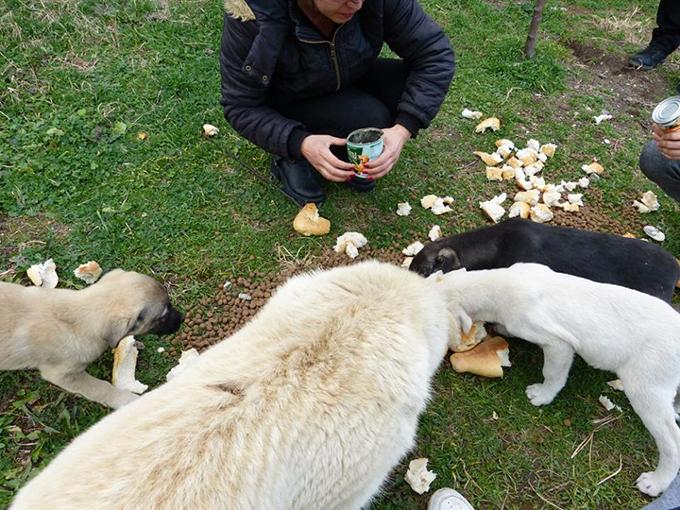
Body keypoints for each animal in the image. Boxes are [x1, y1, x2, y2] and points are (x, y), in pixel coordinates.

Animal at [0, 268, 183, 408]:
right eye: (162, 317)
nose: (182, 318)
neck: (78, 317)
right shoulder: (64, 375)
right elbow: (102, 388)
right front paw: (129, 401)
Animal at [438, 264, 680, 496]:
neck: (497, 284)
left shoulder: (557, 344)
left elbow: (552, 373)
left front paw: (542, 395)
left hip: (646, 388)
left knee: (672, 441)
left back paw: (656, 482)